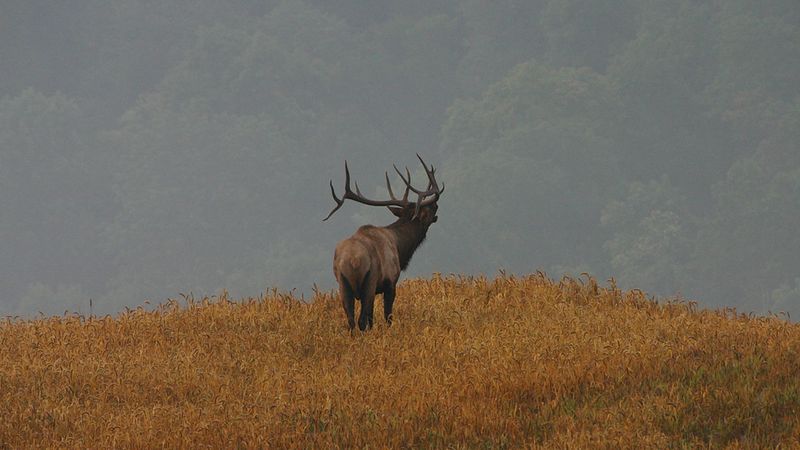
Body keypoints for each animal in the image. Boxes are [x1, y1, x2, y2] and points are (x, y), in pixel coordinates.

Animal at [324, 155, 444, 330]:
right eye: (428, 210)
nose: (436, 204)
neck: (400, 249)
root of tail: (352, 260)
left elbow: (372, 318)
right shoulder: (390, 282)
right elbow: (388, 316)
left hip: (342, 283)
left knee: (351, 320)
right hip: (369, 280)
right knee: (361, 320)